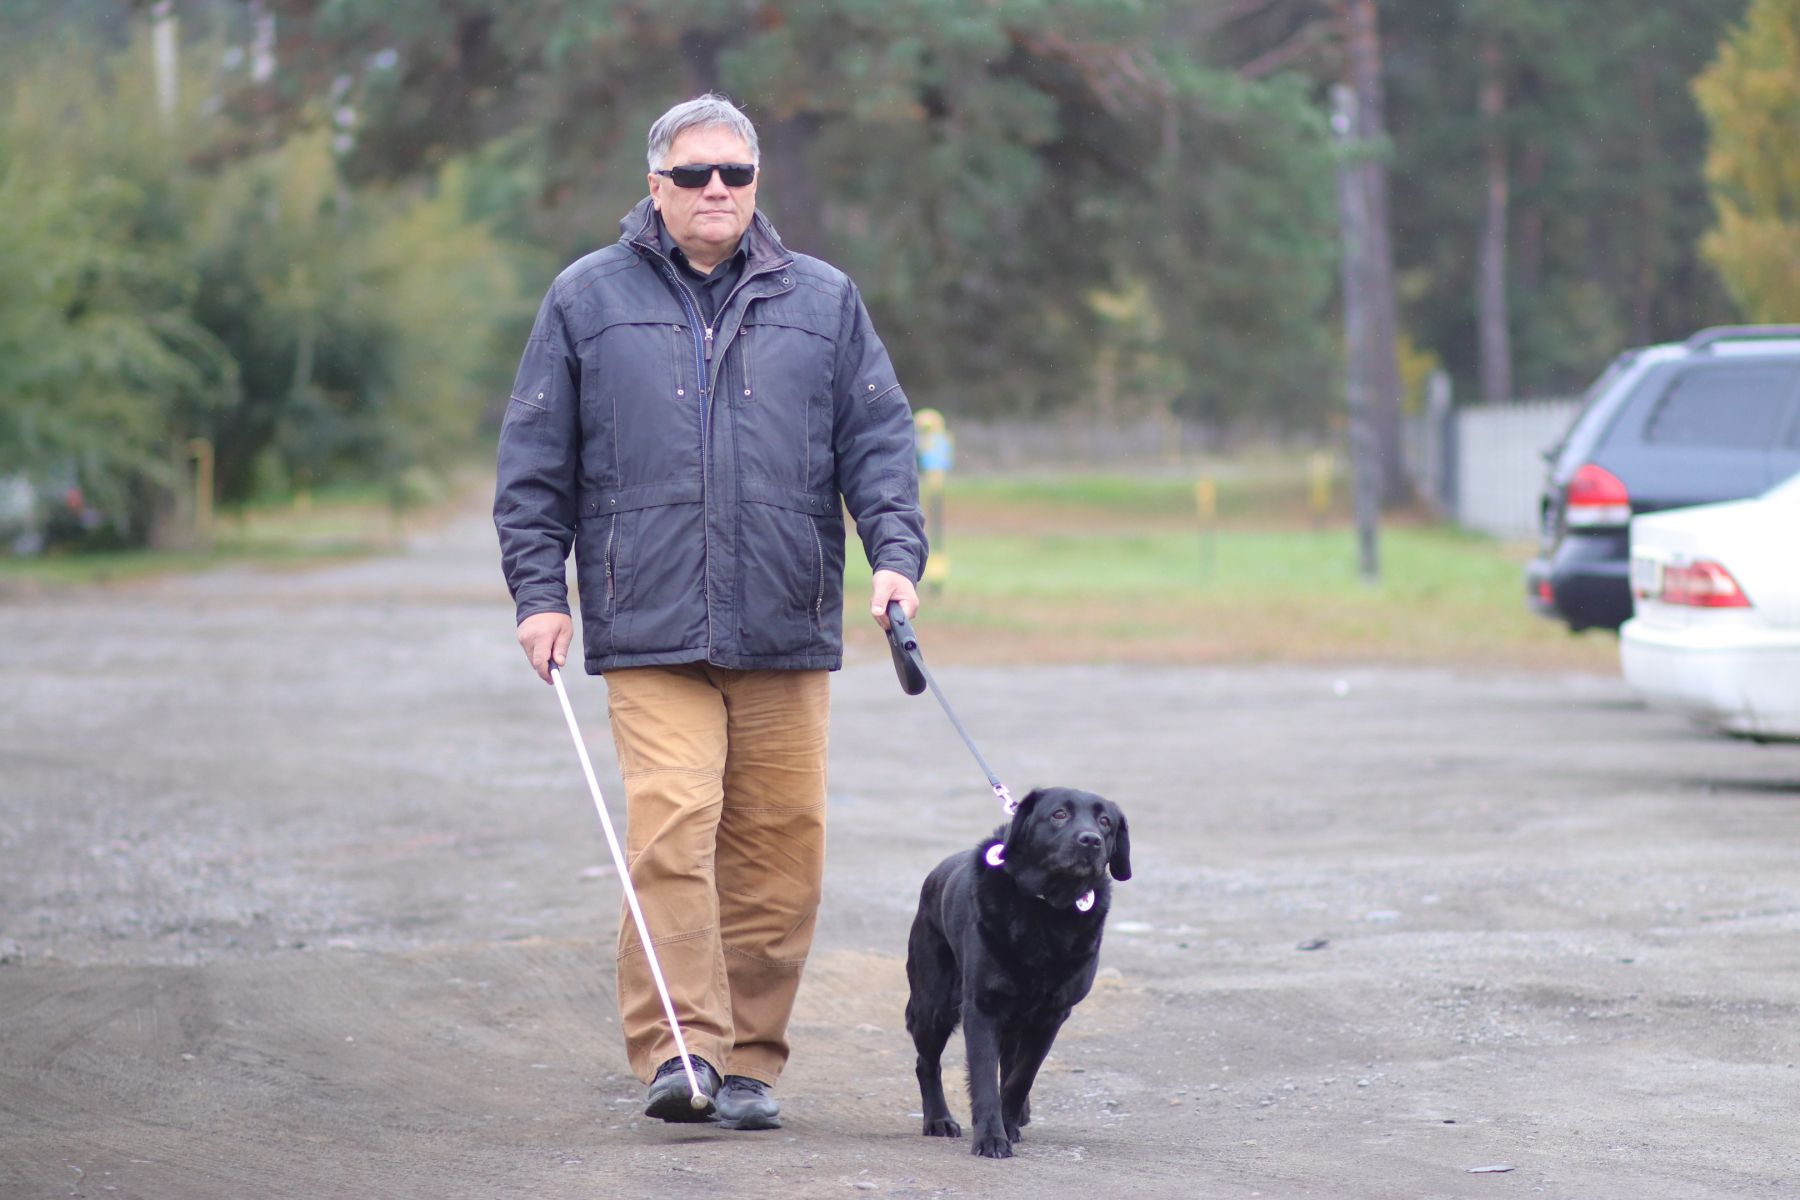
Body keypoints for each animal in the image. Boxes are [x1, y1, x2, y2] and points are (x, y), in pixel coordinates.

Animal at [907, 784, 1130, 1158]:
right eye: (1059, 814)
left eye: (1105, 822)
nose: (1091, 841)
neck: (1047, 909)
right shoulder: (981, 1007)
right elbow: (985, 1077)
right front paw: (991, 1138)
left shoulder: (1051, 1015)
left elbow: (1021, 1076)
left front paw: (1008, 1123)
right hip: (932, 1005)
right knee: (926, 1063)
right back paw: (939, 1120)